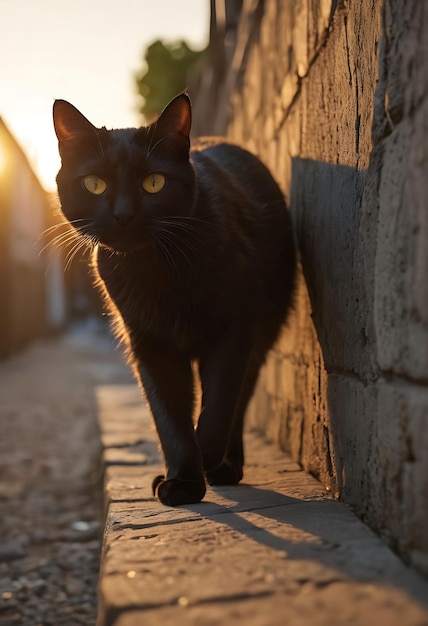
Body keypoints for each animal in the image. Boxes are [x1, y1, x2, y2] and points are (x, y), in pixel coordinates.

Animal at [52, 91, 294, 502]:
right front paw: (183, 480)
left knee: (240, 399)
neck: (156, 269)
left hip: (261, 333)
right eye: (95, 184)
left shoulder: (233, 330)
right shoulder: (148, 343)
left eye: (154, 183)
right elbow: (168, 414)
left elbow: (217, 405)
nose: (123, 214)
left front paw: (204, 459)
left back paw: (226, 466)